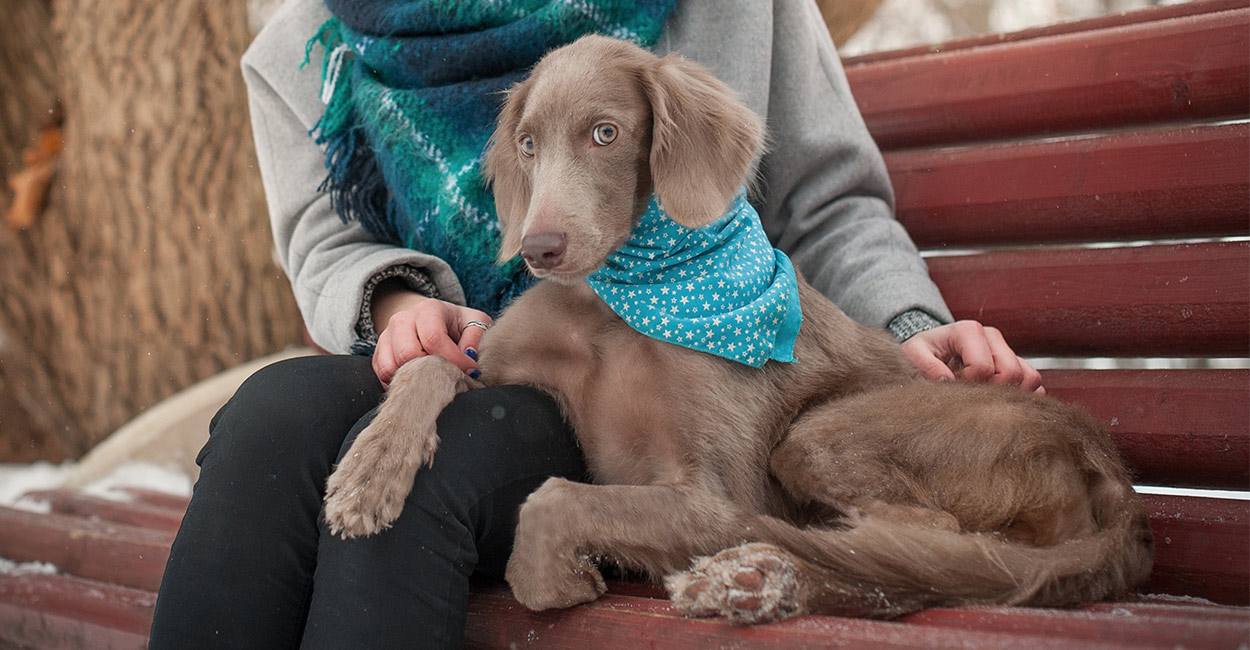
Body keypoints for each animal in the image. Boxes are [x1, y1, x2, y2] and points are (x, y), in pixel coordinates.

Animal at [322, 35, 1150, 625]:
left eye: (605, 133)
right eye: (528, 144)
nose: (538, 249)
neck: (617, 305)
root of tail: (1103, 459)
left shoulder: (715, 496)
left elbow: (555, 498)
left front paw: (549, 578)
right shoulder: (497, 363)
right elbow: (429, 364)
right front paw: (369, 472)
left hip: (822, 435)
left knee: (915, 548)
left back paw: (757, 572)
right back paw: (752, 582)